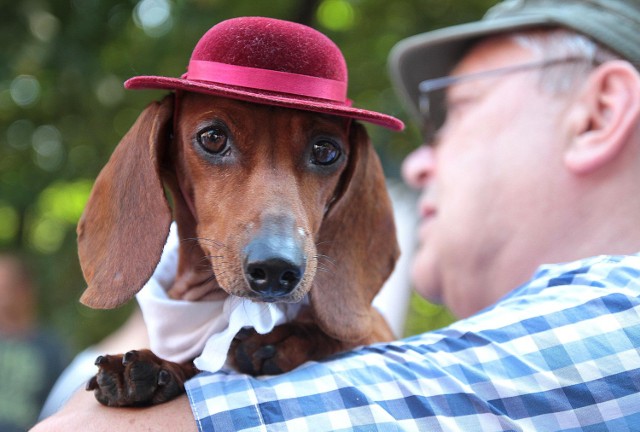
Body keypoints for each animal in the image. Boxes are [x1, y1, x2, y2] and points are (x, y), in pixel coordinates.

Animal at [77, 90, 398, 404]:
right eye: (213, 137)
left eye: (325, 151)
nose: (275, 269)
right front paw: (159, 366)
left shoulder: (377, 329)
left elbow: (344, 334)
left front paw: (289, 338)